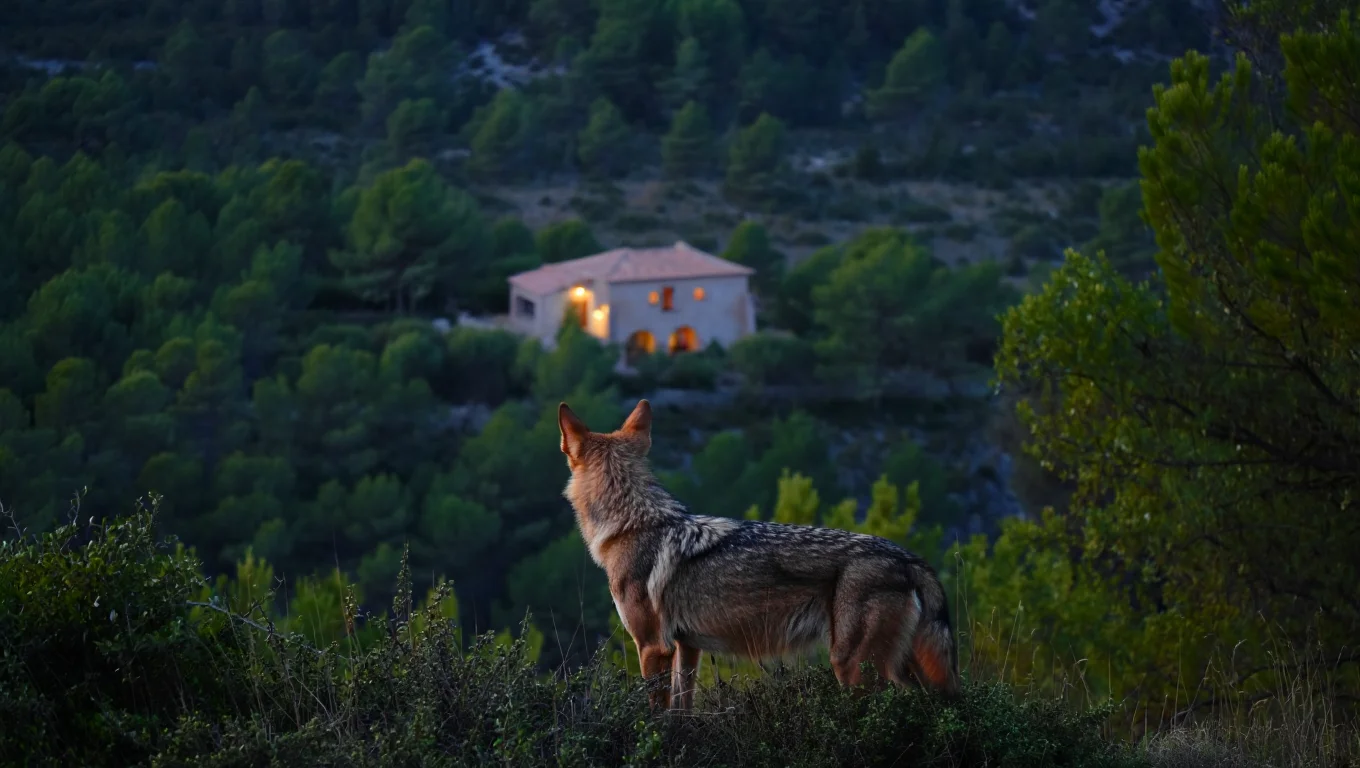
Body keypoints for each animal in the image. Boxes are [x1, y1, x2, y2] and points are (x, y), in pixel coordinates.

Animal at [558, 398, 961, 712]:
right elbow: (681, 713)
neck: (633, 524)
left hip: (853, 669)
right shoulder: (687, 648)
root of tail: (909, 558)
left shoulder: (652, 647)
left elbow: (655, 718)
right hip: (906, 670)